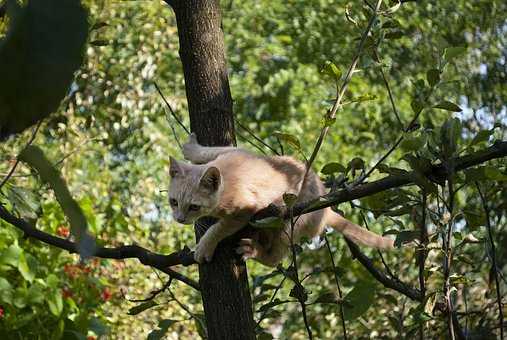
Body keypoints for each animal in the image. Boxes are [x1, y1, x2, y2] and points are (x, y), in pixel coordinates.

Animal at [169, 133, 394, 266]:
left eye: (194, 207)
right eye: (174, 202)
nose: (179, 218)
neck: (228, 174)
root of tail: (327, 210)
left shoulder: (244, 210)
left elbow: (219, 228)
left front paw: (204, 247)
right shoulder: (236, 150)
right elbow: (210, 150)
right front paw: (191, 147)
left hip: (289, 224)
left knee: (274, 258)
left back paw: (253, 249)